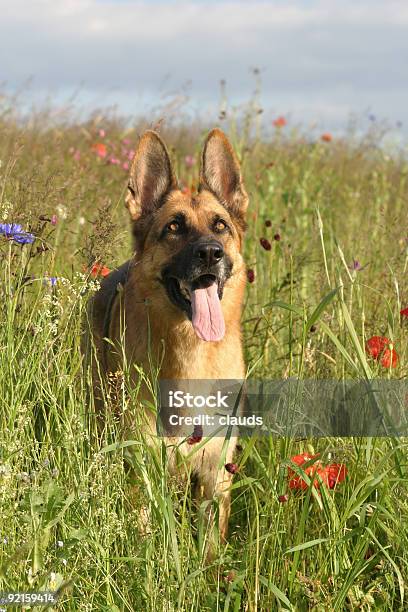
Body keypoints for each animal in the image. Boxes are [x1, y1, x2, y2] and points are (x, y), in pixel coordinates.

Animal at [84, 128, 247, 548]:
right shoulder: (142, 472)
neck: (191, 357)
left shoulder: (214, 478)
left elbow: (209, 550)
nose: (210, 253)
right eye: (174, 227)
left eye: (220, 226)